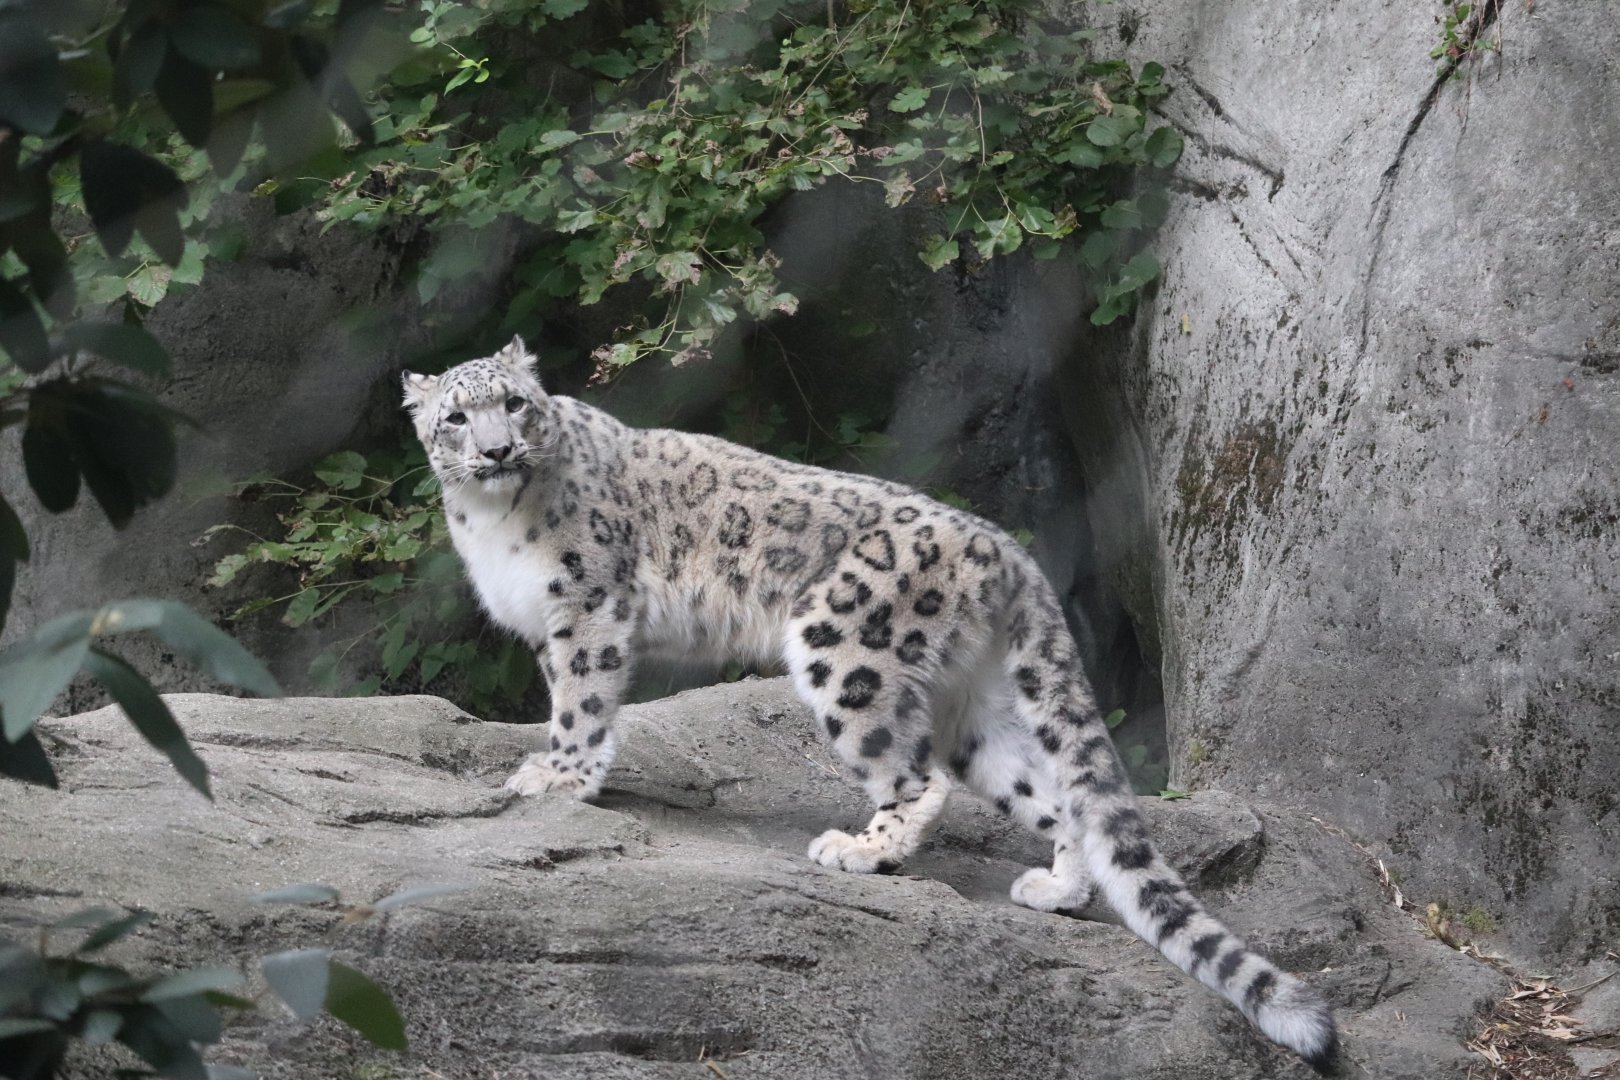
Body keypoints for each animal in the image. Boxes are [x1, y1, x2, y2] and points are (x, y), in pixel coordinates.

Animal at [403, 337, 1338, 1069]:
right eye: (456, 417)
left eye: (514, 405)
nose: (496, 452)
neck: (492, 520)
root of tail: (1004, 547)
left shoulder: (588, 607)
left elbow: (582, 697)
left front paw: (558, 777)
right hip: (973, 706)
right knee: (1049, 793)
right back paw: (1057, 889)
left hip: (842, 646)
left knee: (916, 777)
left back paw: (860, 850)